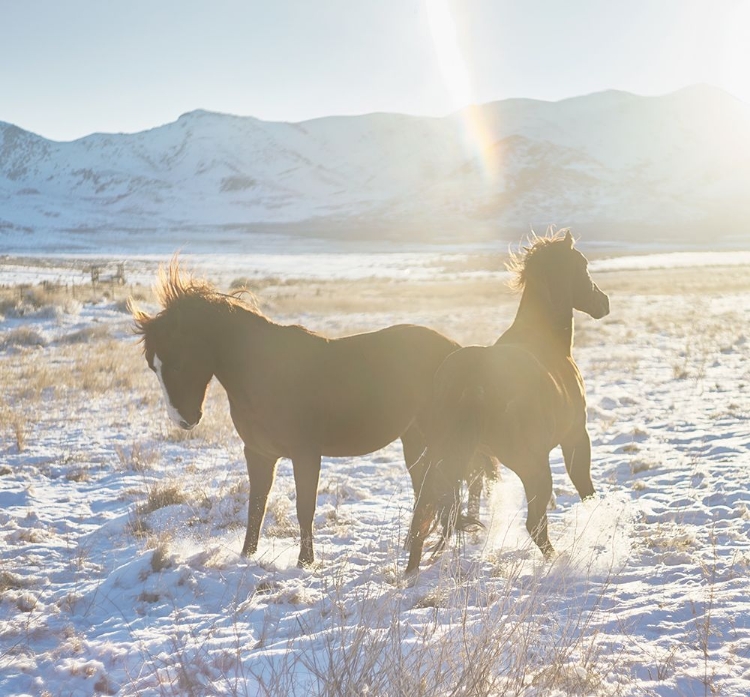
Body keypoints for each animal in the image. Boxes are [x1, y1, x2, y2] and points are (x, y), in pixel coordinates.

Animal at [130, 260, 470, 564]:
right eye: (152, 366)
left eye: (178, 363)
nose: (183, 420)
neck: (264, 372)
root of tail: (455, 350)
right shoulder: (258, 453)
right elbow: (256, 507)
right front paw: (246, 556)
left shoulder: (305, 454)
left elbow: (304, 508)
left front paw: (305, 563)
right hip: (414, 440)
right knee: (427, 491)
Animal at [406, 231, 612, 572]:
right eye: (582, 264)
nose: (603, 302)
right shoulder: (575, 437)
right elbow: (586, 489)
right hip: (533, 466)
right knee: (535, 524)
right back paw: (558, 561)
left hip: (441, 460)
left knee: (423, 517)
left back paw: (411, 572)